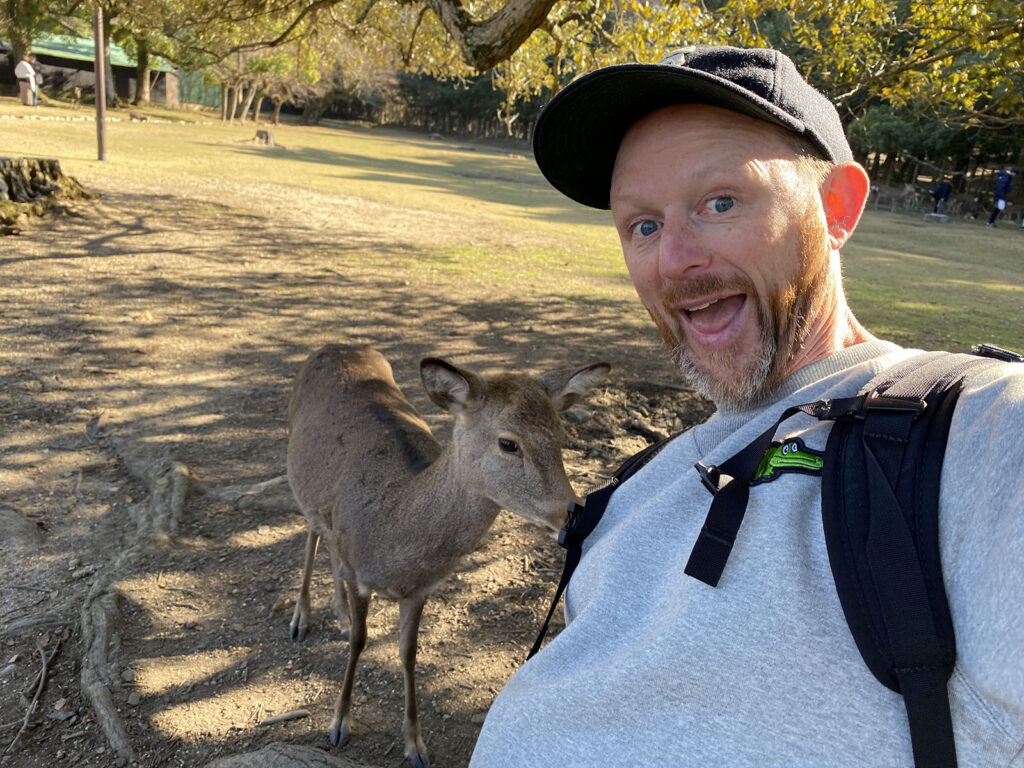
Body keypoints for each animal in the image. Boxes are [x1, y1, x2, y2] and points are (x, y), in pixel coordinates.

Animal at [286, 343, 609, 768]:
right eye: (508, 443)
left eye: (559, 435)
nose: (575, 512)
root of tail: (333, 345)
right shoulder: (359, 572)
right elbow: (359, 641)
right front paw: (339, 724)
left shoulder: (421, 589)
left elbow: (408, 653)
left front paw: (415, 744)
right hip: (298, 478)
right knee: (311, 535)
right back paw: (300, 619)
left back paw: (337, 614)